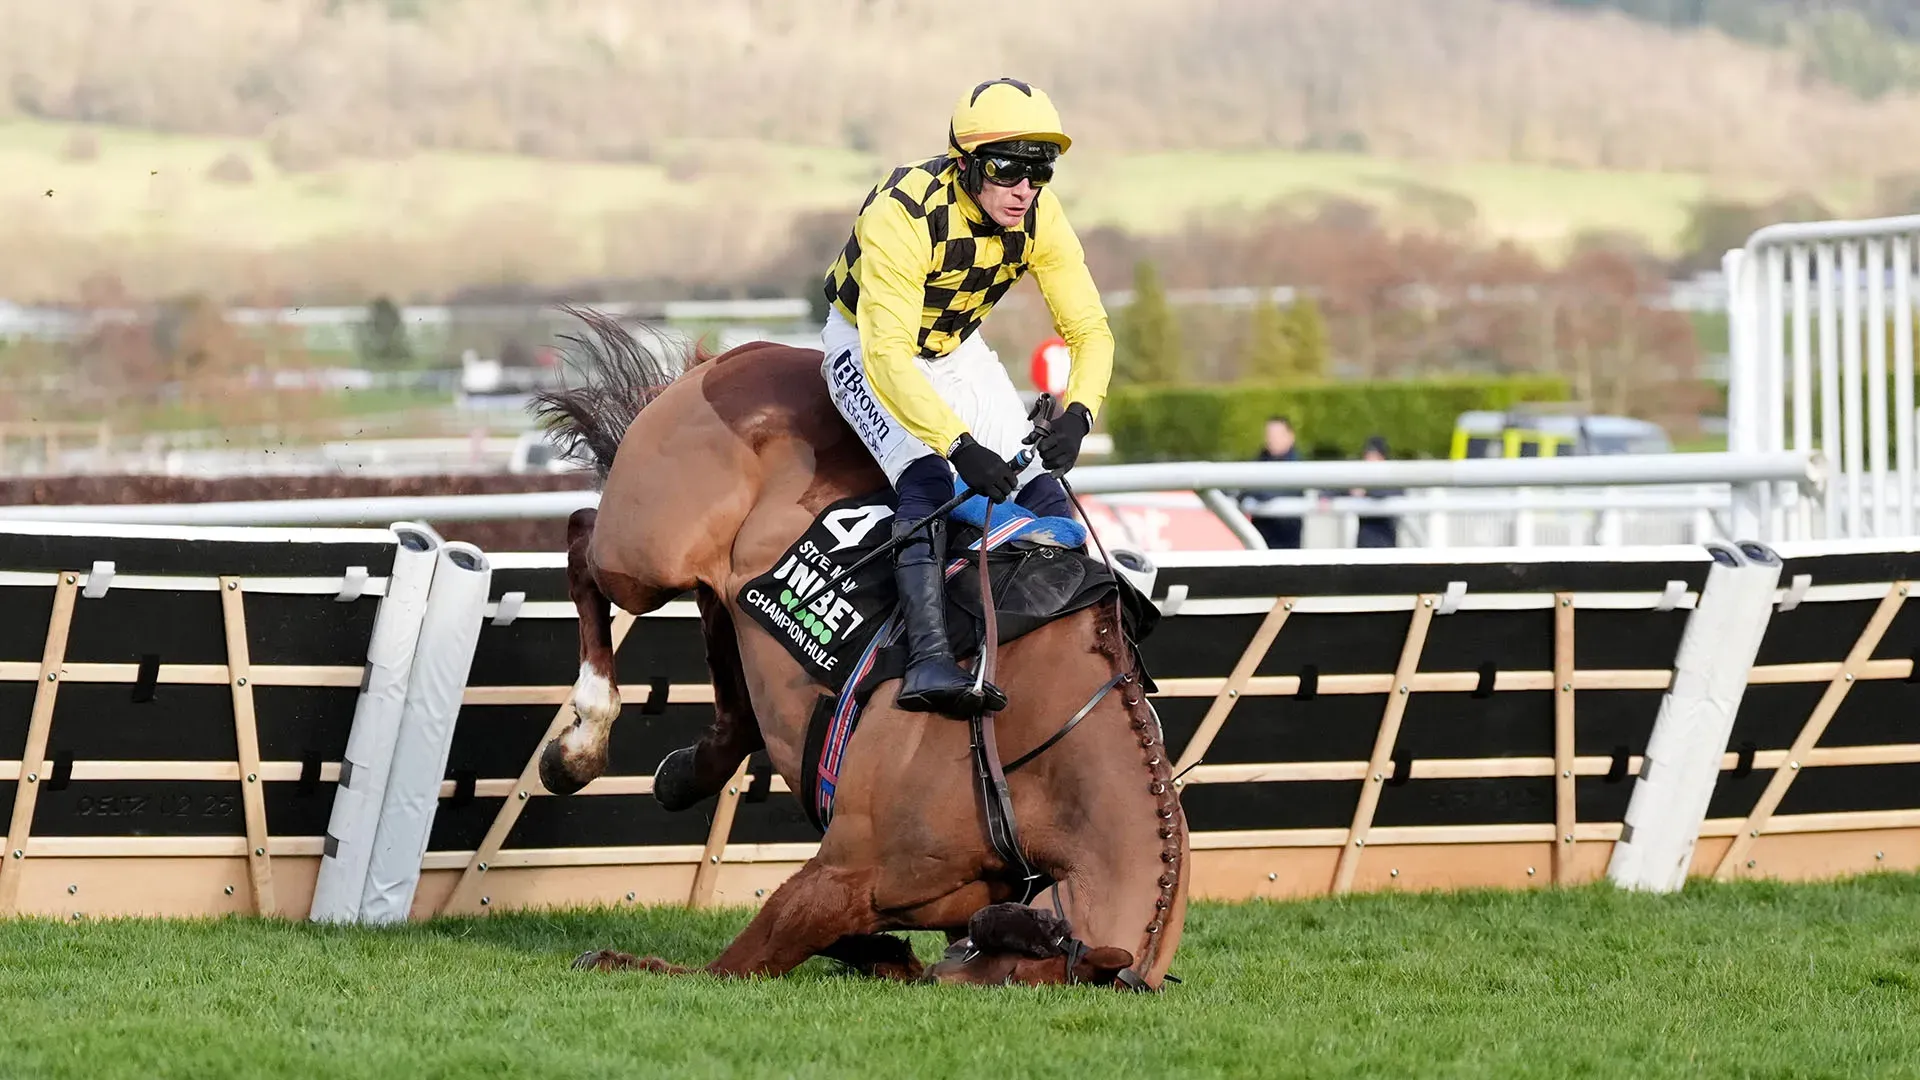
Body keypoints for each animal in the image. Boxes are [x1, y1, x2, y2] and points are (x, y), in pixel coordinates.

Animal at [529, 309, 1182, 983]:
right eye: (1002, 979)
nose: (952, 967)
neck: (1039, 748)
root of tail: (746, 353)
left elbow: (890, 957)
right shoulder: (841, 877)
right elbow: (731, 967)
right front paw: (614, 958)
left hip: (720, 578)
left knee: (727, 659)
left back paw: (682, 773)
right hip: (649, 552)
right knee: (581, 540)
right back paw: (579, 748)